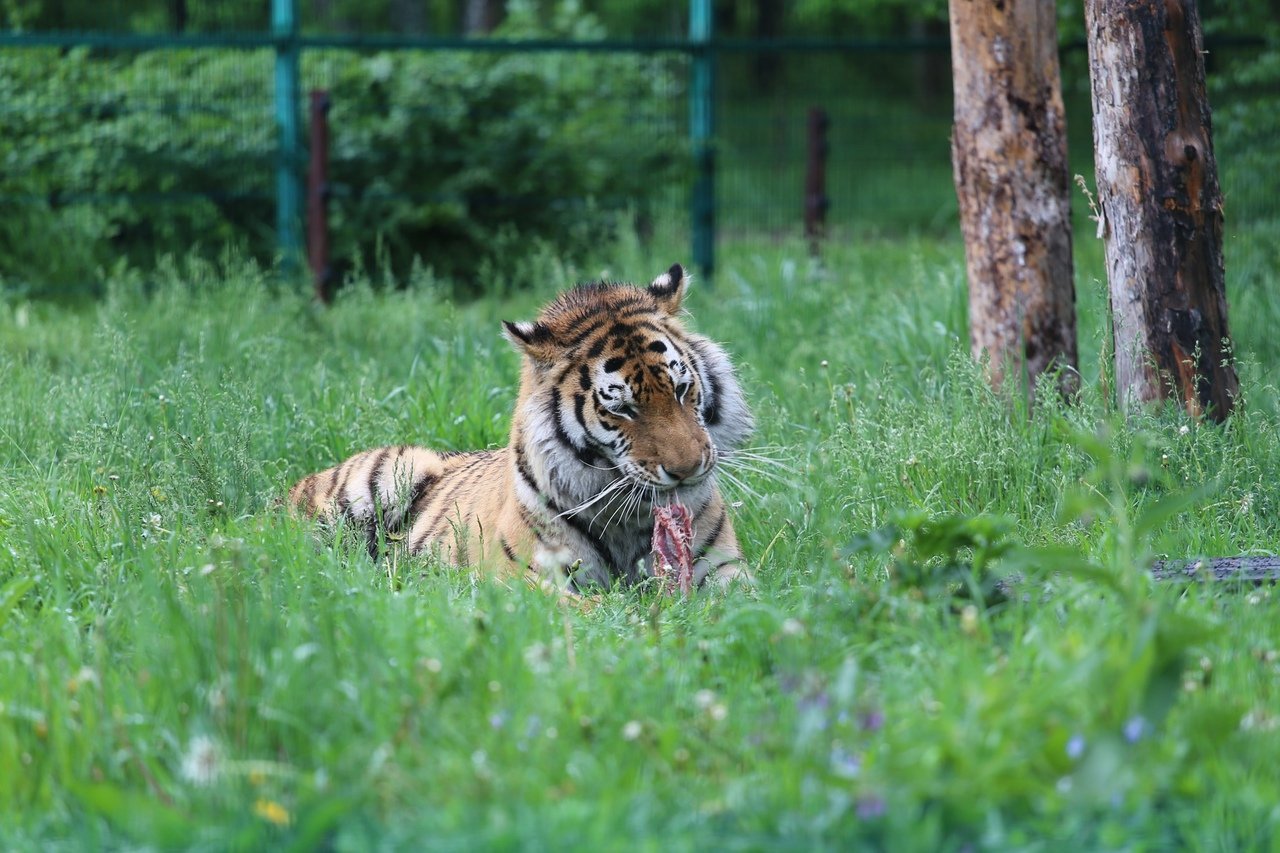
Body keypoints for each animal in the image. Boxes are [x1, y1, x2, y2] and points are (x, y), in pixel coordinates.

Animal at [289, 262, 747, 589]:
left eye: (681, 389)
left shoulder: (725, 570)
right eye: (622, 408)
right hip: (389, 476)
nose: (688, 470)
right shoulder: (530, 580)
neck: (630, 516)